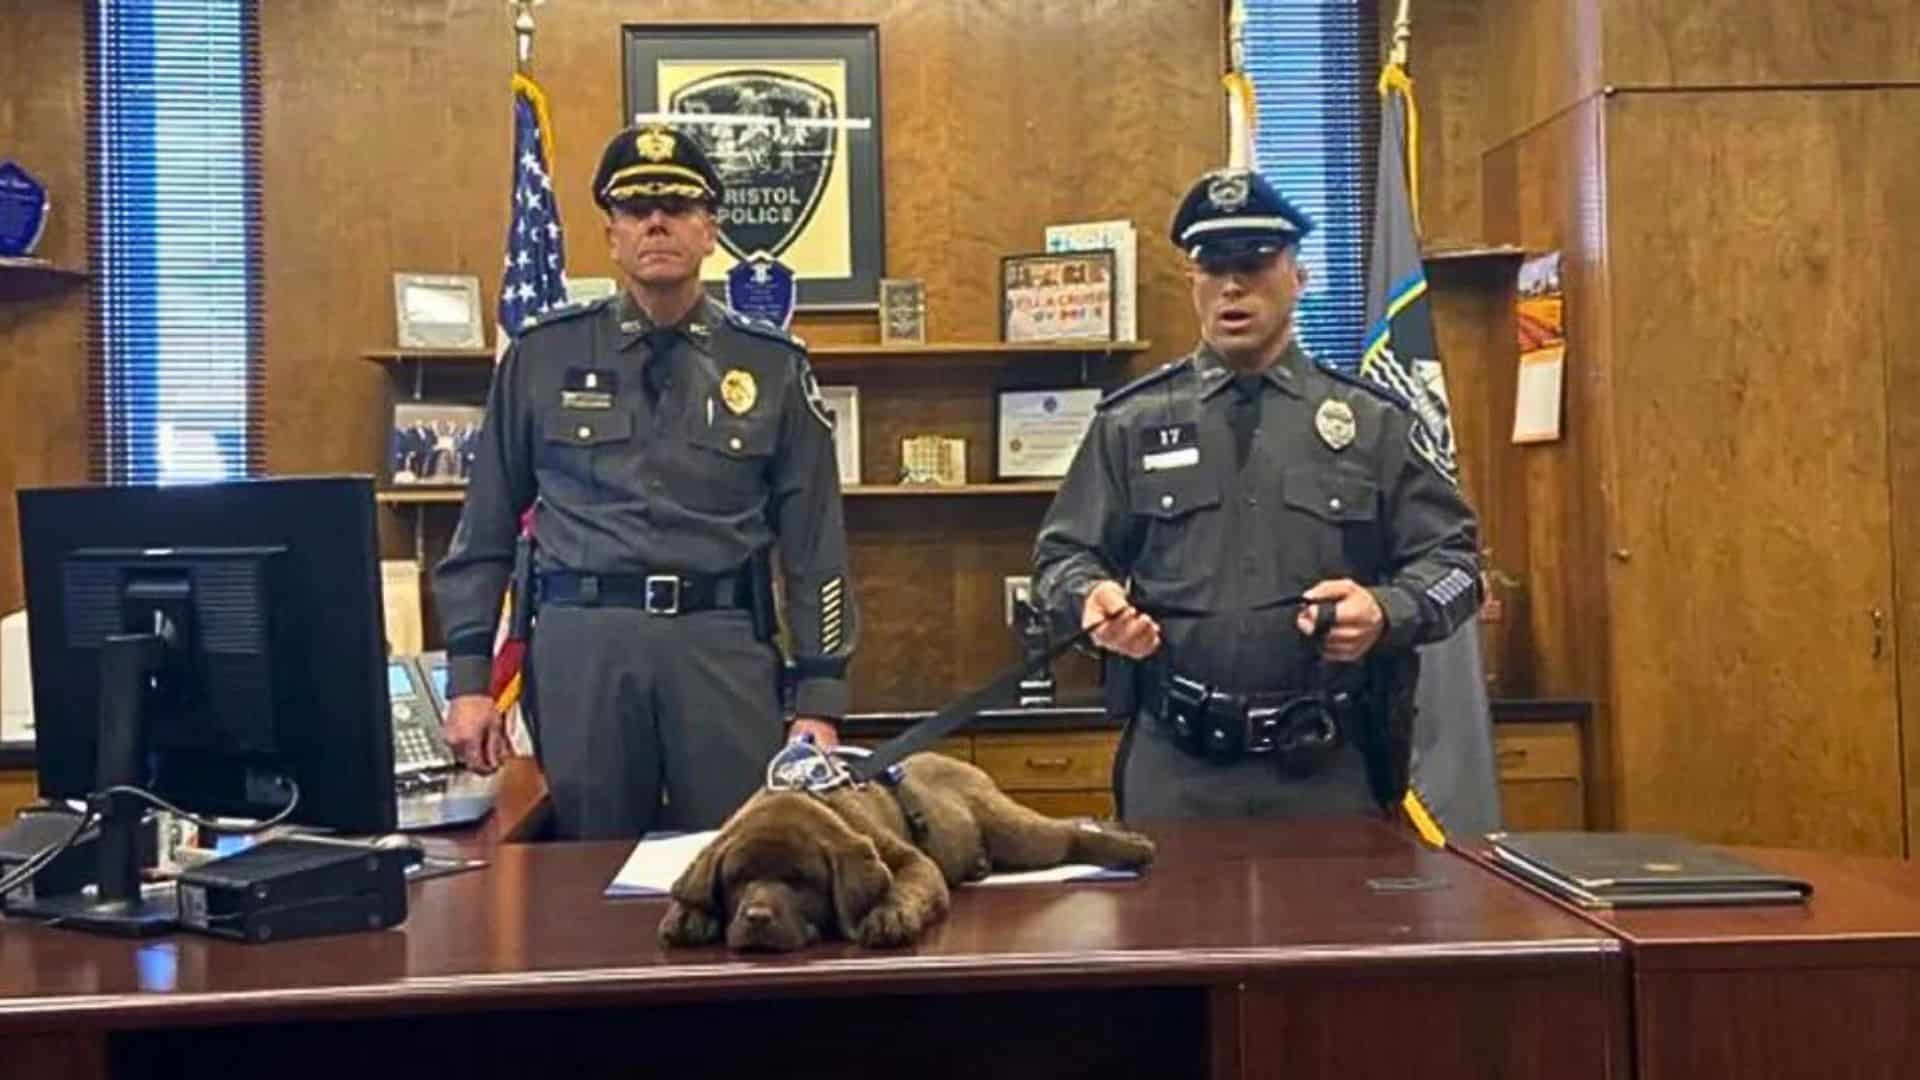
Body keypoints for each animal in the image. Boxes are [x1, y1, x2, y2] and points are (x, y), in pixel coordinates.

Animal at [660, 745, 1152, 945]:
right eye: (737, 882)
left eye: (801, 883)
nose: (757, 918)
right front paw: (686, 914)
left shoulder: (909, 859)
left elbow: (908, 884)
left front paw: (888, 916)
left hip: (1018, 835)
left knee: (1065, 835)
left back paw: (1131, 846)